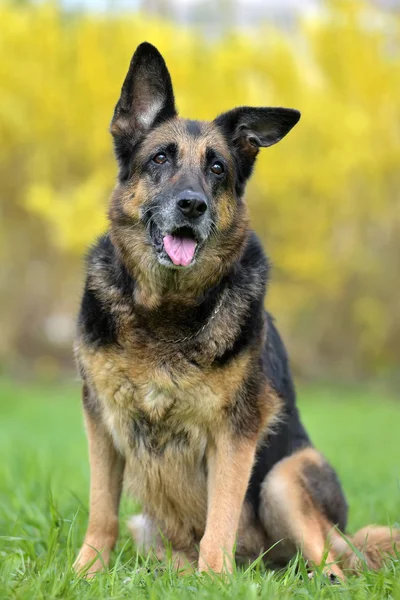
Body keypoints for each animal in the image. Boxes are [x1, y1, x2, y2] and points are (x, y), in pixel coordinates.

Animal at [73, 43, 398, 580]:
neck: (168, 311)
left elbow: (220, 516)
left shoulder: (235, 432)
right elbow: (102, 511)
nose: (192, 205)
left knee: (332, 567)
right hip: (148, 524)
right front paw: (86, 571)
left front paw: (214, 580)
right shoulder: (100, 422)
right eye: (160, 158)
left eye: (218, 168)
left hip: (284, 479)